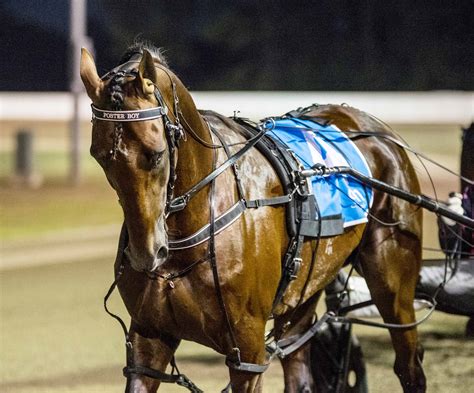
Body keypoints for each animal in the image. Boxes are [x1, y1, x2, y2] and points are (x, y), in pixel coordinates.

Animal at [80, 41, 426, 390]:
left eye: (156, 154)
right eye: (100, 157)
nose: (147, 254)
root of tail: (377, 130)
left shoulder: (247, 352)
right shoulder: (148, 338)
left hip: (393, 281)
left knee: (408, 363)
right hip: (304, 290)